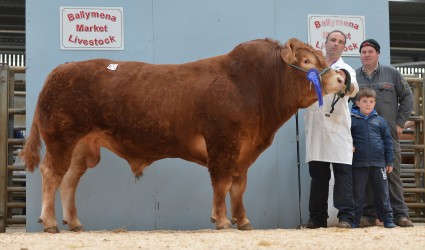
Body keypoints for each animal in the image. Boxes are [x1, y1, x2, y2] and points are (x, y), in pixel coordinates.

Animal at [20, 37, 344, 232]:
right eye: (306, 62)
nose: (341, 78)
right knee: (51, 174)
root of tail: (63, 68)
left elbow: (238, 188)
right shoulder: (223, 145)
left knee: (69, 180)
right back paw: (49, 223)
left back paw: (74, 222)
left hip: (82, 146)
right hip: (60, 139)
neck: (252, 86)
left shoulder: (243, 153)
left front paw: (243, 220)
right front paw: (221, 220)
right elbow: (222, 183)